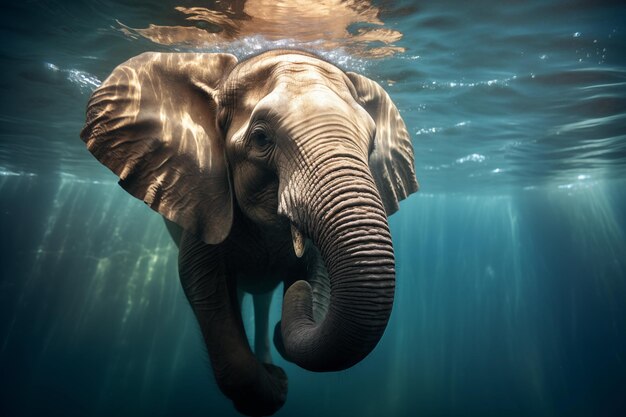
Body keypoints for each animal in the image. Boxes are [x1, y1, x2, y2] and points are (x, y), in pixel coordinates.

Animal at [80, 50, 416, 414]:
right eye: (261, 138)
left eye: (371, 143)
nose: (298, 292)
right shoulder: (207, 202)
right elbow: (200, 281)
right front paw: (277, 384)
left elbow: (318, 272)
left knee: (263, 298)